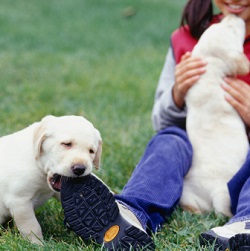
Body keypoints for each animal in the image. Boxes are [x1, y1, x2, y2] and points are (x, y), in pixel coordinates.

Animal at [0, 115, 102, 243]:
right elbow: (32, 226)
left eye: (91, 151)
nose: (80, 169)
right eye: (66, 144)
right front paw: (37, 244)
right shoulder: (20, 202)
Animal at [182, 14, 250, 217]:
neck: (209, 71)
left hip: (186, 195)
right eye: (232, 30)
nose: (232, 15)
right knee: (224, 211)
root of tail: (210, 196)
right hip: (225, 193)